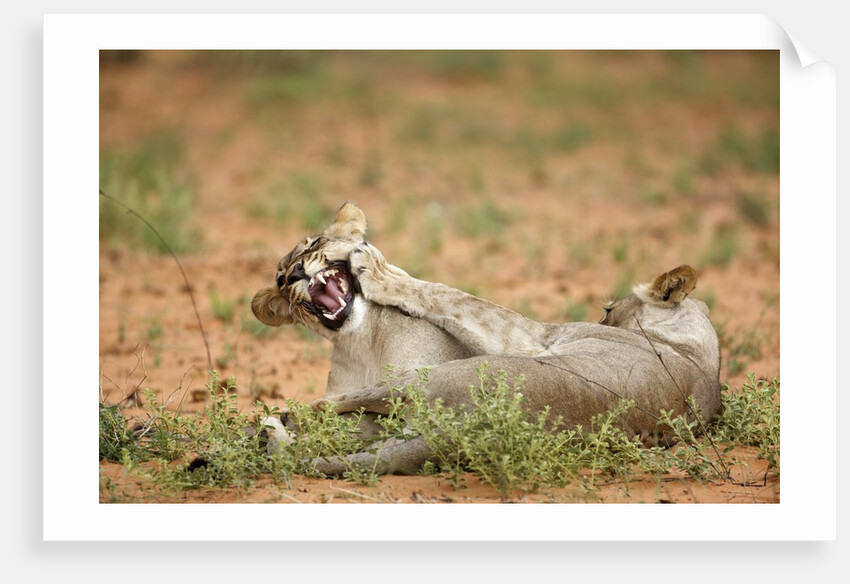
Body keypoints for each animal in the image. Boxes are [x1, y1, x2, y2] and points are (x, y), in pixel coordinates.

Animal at [251, 202, 722, 475]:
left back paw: (274, 424)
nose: (293, 274)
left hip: (432, 377)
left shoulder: (532, 335)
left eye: (314, 242)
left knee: (328, 408)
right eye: (280, 277)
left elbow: (450, 295)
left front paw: (379, 270)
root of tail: (469, 435)